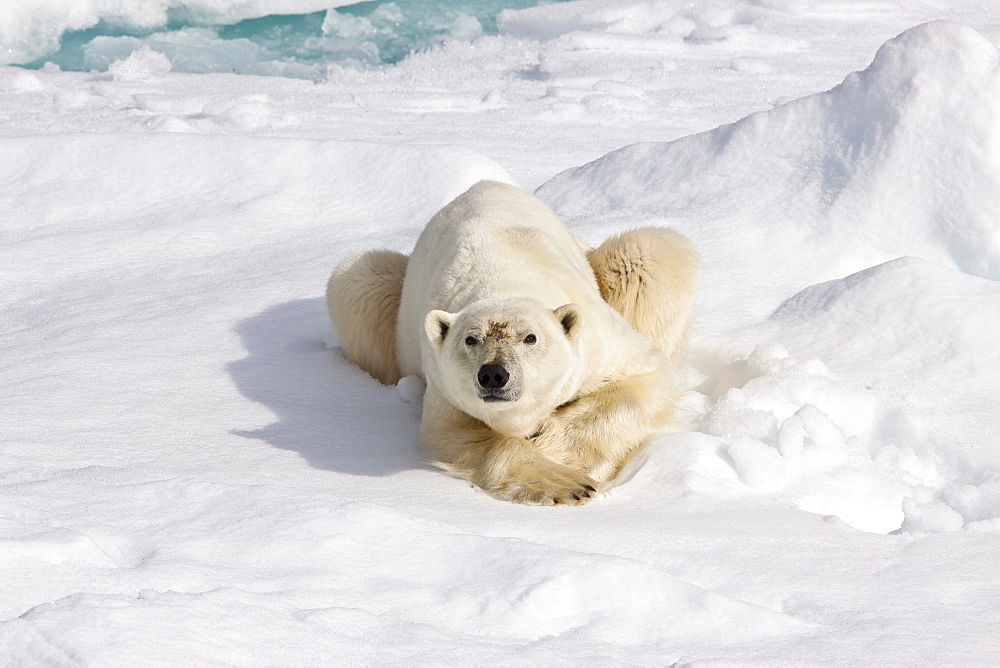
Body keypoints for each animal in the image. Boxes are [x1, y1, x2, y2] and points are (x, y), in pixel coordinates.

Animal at [326, 180, 696, 504]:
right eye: (471, 340)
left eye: (530, 338)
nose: (493, 375)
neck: (506, 282)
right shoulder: (444, 383)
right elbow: (457, 433)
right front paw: (564, 483)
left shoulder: (598, 344)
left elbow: (641, 378)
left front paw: (553, 448)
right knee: (359, 281)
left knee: (653, 252)